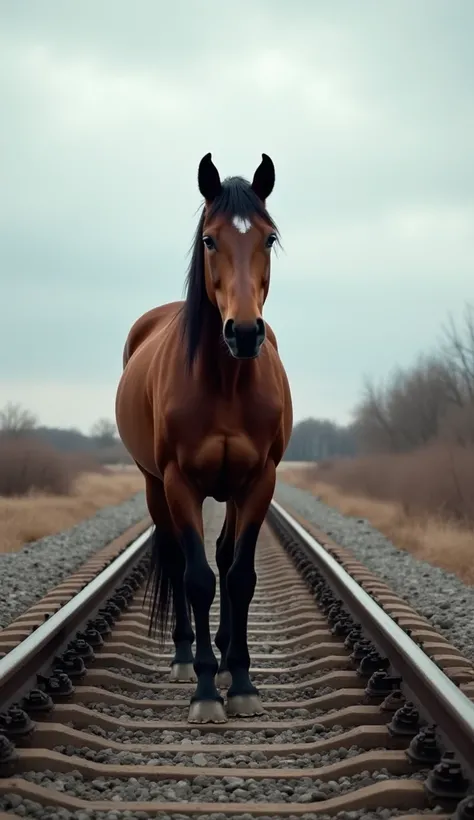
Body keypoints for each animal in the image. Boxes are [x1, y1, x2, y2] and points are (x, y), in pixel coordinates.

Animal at [115, 154, 292, 724]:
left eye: (269, 237)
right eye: (210, 240)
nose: (244, 332)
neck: (226, 382)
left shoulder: (259, 482)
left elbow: (239, 576)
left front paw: (242, 681)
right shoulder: (180, 483)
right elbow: (197, 578)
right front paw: (208, 691)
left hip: (232, 490)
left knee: (224, 554)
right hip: (153, 485)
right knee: (177, 562)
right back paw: (185, 658)